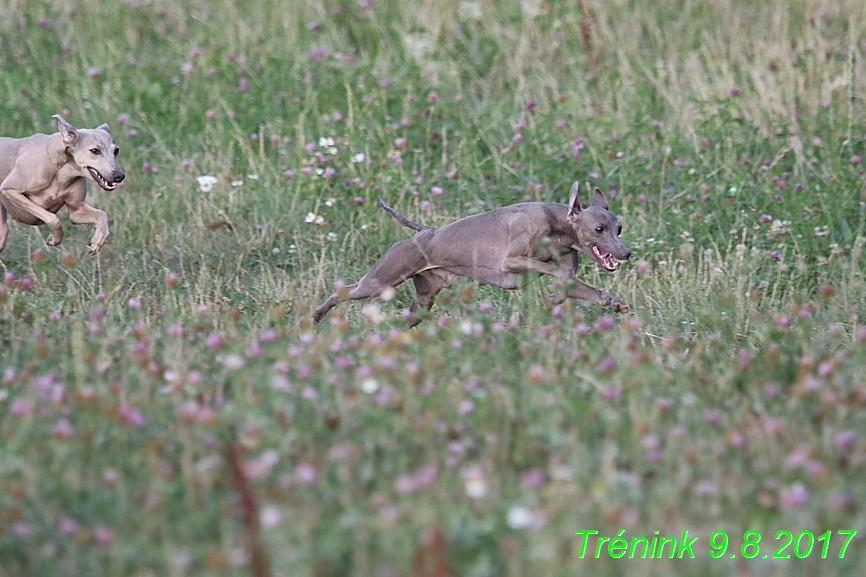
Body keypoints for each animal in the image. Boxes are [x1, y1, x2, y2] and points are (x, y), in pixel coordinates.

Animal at [0, 115, 125, 254]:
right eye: (95, 150)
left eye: (116, 150)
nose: (119, 176)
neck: (62, 172)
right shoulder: (8, 190)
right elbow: (53, 218)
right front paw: (55, 238)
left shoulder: (77, 211)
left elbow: (102, 214)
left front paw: (98, 239)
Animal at [312, 181, 628, 324]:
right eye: (600, 228)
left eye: (619, 228)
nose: (626, 253)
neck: (557, 224)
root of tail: (424, 231)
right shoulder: (511, 260)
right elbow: (554, 272)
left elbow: (578, 287)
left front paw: (613, 302)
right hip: (381, 280)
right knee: (340, 292)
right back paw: (315, 317)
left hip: (423, 302)